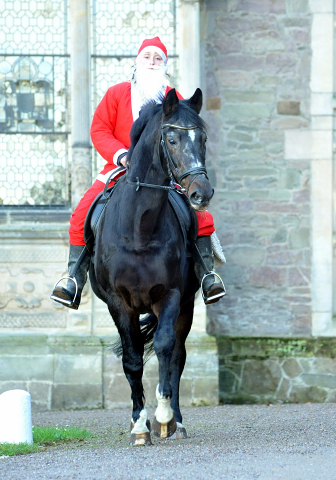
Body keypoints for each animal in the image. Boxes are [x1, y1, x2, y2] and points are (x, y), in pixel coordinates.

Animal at [90, 87, 214, 446]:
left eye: (203, 138)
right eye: (171, 139)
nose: (201, 193)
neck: (139, 228)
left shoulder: (170, 296)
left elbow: (163, 348)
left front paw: (163, 415)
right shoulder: (118, 303)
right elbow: (132, 361)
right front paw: (139, 425)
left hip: (186, 307)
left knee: (176, 357)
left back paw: (176, 422)